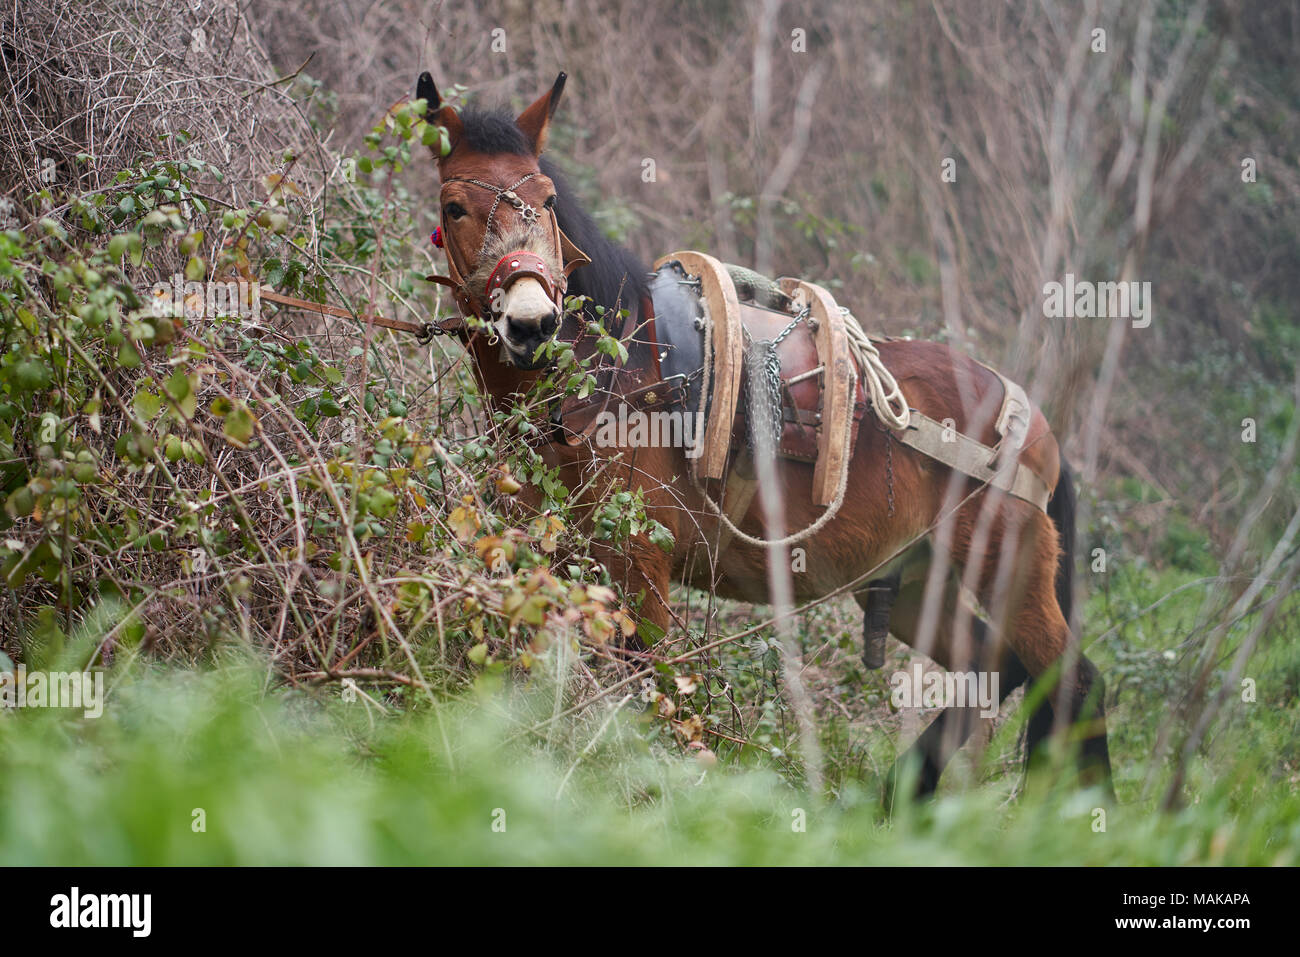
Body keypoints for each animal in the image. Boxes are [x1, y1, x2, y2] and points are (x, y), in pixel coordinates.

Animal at [414, 70, 1114, 803]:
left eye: (547, 201)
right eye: (454, 207)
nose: (531, 323)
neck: (610, 377)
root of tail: (1028, 414)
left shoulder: (639, 567)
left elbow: (646, 691)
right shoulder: (544, 557)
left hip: (1007, 561)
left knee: (1072, 680)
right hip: (914, 581)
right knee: (996, 665)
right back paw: (895, 800)